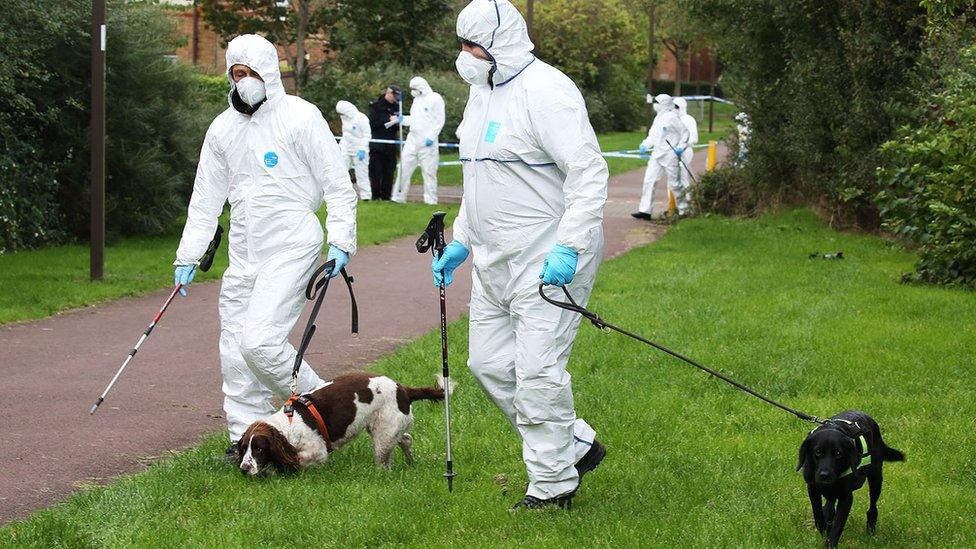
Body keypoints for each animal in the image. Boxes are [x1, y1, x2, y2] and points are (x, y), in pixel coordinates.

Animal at [796, 408, 904, 544]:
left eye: (838, 453)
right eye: (818, 452)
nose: (824, 475)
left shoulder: (846, 497)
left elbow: (838, 525)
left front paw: (830, 543)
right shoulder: (813, 489)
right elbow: (818, 515)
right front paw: (824, 528)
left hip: (876, 478)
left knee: (872, 507)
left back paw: (871, 528)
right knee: (829, 505)